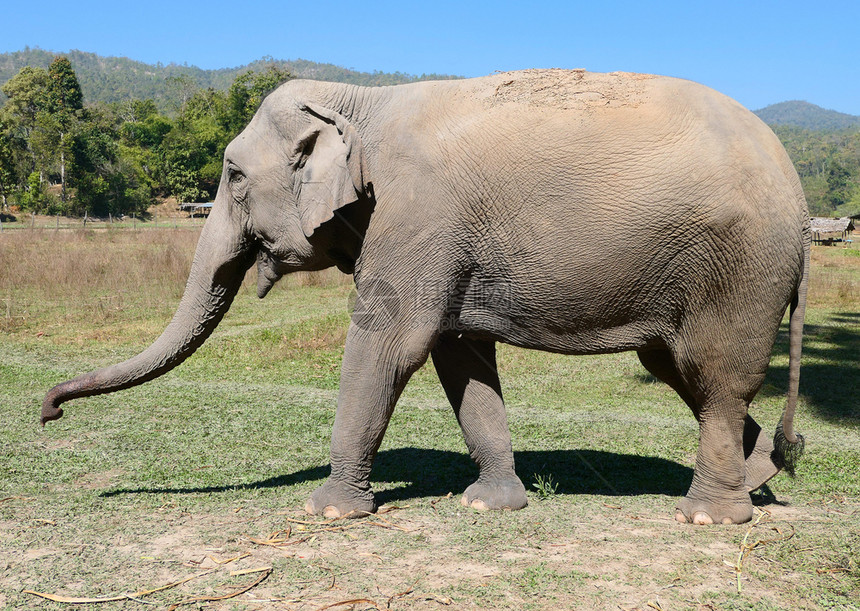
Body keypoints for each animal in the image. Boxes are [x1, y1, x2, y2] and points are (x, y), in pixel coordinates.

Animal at [38, 68, 808, 524]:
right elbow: (459, 356)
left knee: (716, 377)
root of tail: (800, 201)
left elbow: (389, 344)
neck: (357, 98)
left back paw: (710, 515)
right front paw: (491, 504)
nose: (47, 409)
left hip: (740, 268)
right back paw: (756, 480)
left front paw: (329, 513)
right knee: (681, 372)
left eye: (232, 175)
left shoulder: (417, 215)